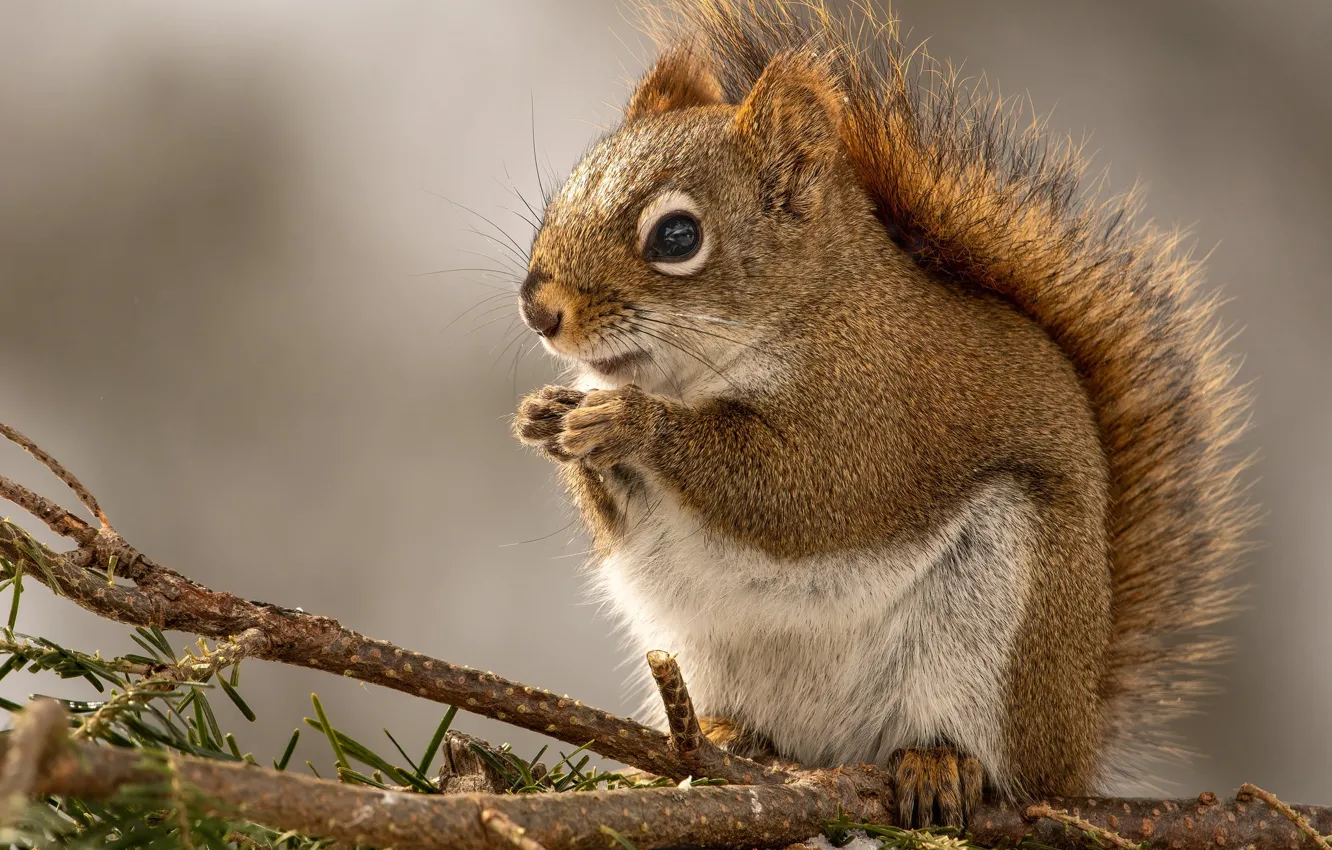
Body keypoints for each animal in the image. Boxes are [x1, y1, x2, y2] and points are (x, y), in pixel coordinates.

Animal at [511, 0, 1251, 828]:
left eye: (676, 236)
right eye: (563, 194)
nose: (539, 309)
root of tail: (1076, 748)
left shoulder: (875, 412)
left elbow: (799, 492)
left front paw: (633, 423)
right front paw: (546, 418)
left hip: (1001, 631)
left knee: (987, 752)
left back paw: (941, 764)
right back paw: (721, 739)